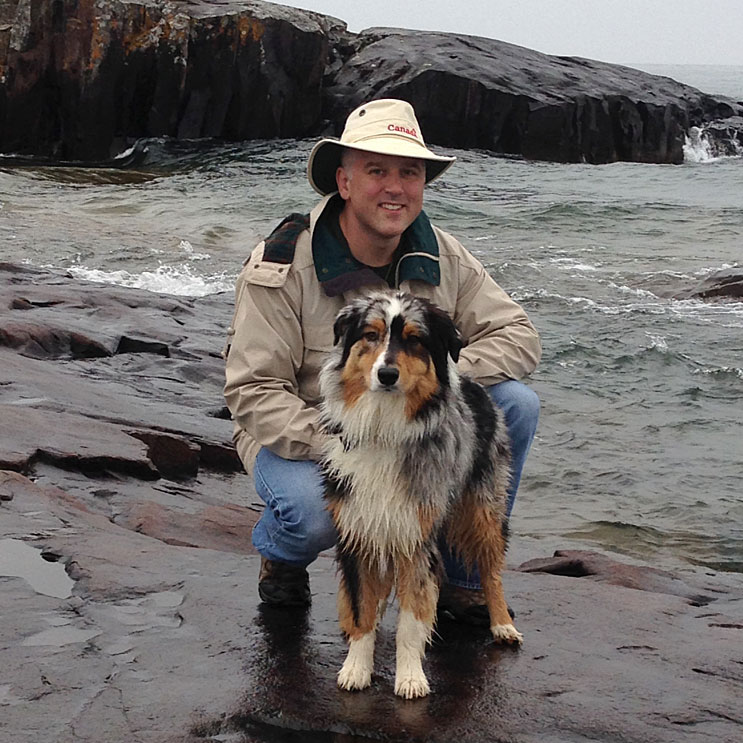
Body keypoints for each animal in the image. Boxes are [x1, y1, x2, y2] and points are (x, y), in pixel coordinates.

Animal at [320, 290, 524, 696]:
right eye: (370, 335)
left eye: (415, 340)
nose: (386, 374)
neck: (384, 426)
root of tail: (474, 384)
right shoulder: (358, 530)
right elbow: (362, 607)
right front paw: (356, 667)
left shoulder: (416, 535)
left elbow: (412, 620)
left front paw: (411, 677)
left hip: (484, 506)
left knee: (491, 569)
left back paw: (501, 624)